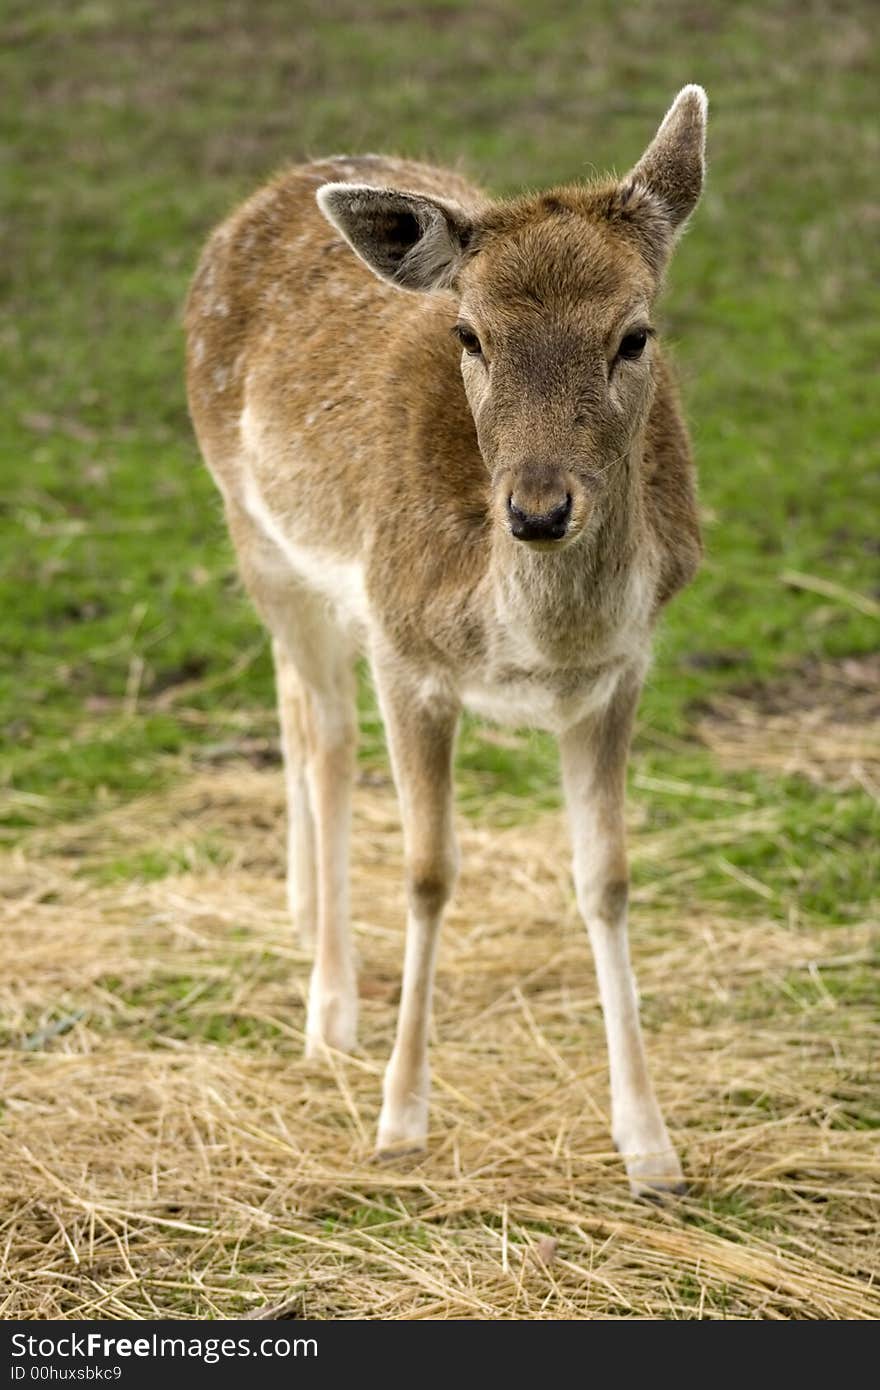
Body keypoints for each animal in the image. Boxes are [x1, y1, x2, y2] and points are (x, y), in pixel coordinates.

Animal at [183, 84, 706, 1195]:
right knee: (325, 737)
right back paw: (329, 1005)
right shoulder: (405, 652)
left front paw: (650, 1146)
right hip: (254, 530)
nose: (538, 510)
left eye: (634, 335)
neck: (534, 641)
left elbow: (606, 878)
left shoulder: (623, 668)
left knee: (294, 708)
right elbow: (428, 873)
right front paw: (399, 1121)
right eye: (469, 335)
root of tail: (278, 185)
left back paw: (303, 918)